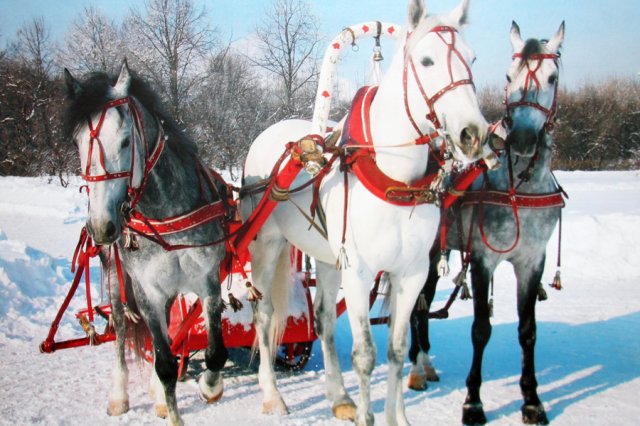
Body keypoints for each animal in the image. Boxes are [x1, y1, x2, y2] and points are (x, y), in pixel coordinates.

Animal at [62, 61, 231, 424]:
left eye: (126, 141)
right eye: (76, 143)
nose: (102, 225)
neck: (166, 212)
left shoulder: (207, 280)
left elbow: (214, 351)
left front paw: (210, 387)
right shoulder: (147, 291)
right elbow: (165, 363)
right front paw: (172, 409)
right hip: (117, 279)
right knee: (121, 331)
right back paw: (119, 395)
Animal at [241, 1, 490, 424]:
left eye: (472, 58)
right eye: (426, 61)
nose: (473, 134)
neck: (394, 179)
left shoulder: (411, 272)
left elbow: (397, 349)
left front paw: (397, 416)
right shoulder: (358, 273)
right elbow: (365, 356)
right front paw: (368, 414)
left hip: (327, 258)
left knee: (323, 318)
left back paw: (339, 395)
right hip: (267, 245)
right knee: (264, 313)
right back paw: (272, 394)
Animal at [410, 21, 564, 424]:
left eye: (552, 77)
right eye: (509, 76)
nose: (522, 138)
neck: (518, 189)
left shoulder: (532, 261)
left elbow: (528, 331)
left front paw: (532, 400)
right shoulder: (483, 259)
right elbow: (481, 329)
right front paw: (473, 402)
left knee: (422, 302)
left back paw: (424, 363)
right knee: (417, 306)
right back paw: (416, 369)